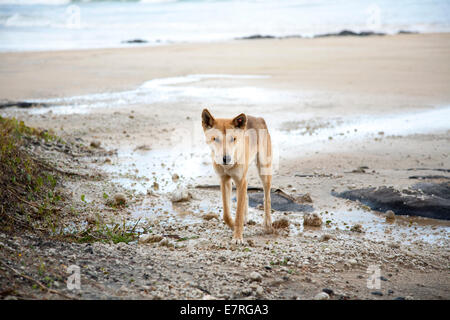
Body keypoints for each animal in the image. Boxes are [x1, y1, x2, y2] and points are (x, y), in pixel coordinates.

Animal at [202, 109, 272, 244]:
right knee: (246, 196)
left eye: (233, 139)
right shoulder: (225, 181)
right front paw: (233, 225)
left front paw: (237, 237)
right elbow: (226, 214)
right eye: (215, 139)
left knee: (267, 197)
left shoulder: (240, 181)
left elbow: (238, 213)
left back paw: (267, 222)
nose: (226, 158)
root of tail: (259, 118)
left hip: (264, 171)